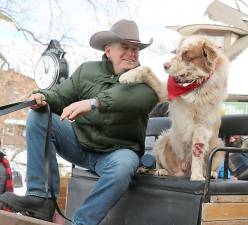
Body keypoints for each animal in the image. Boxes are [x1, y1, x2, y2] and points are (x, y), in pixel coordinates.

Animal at [119, 36, 230, 181]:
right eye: (177, 53)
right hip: (163, 139)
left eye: (186, 55)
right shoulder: (163, 91)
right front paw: (126, 76)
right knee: (162, 167)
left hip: (219, 144)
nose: (164, 65)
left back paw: (210, 173)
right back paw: (159, 171)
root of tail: (182, 172)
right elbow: (146, 68)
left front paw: (197, 176)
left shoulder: (201, 127)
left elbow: (197, 151)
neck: (192, 87)